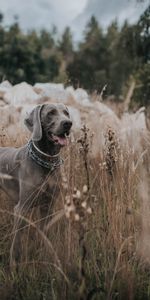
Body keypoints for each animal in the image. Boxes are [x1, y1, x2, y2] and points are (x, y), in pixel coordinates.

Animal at [0, 103, 72, 262]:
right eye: (51, 113)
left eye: (66, 113)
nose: (68, 123)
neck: (47, 162)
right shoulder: (21, 209)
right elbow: (16, 243)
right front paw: (14, 264)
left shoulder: (48, 206)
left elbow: (45, 235)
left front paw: (46, 256)